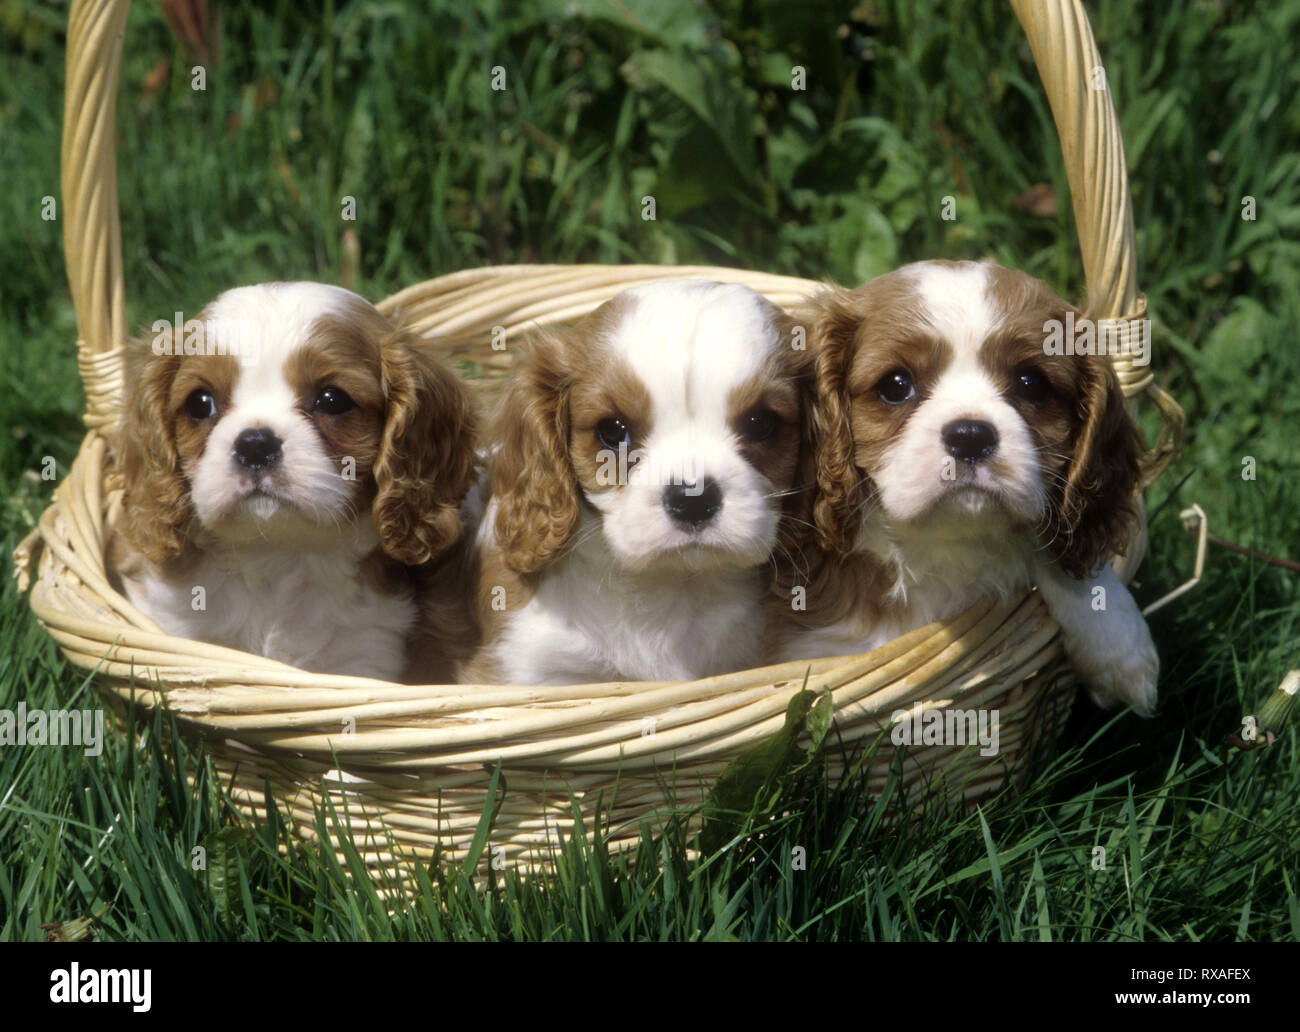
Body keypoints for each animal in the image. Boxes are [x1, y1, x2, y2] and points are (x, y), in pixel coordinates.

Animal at [110, 283, 478, 681]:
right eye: (199, 403)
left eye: (333, 400)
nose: (255, 444)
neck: (273, 556)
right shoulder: (175, 625)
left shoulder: (364, 654)